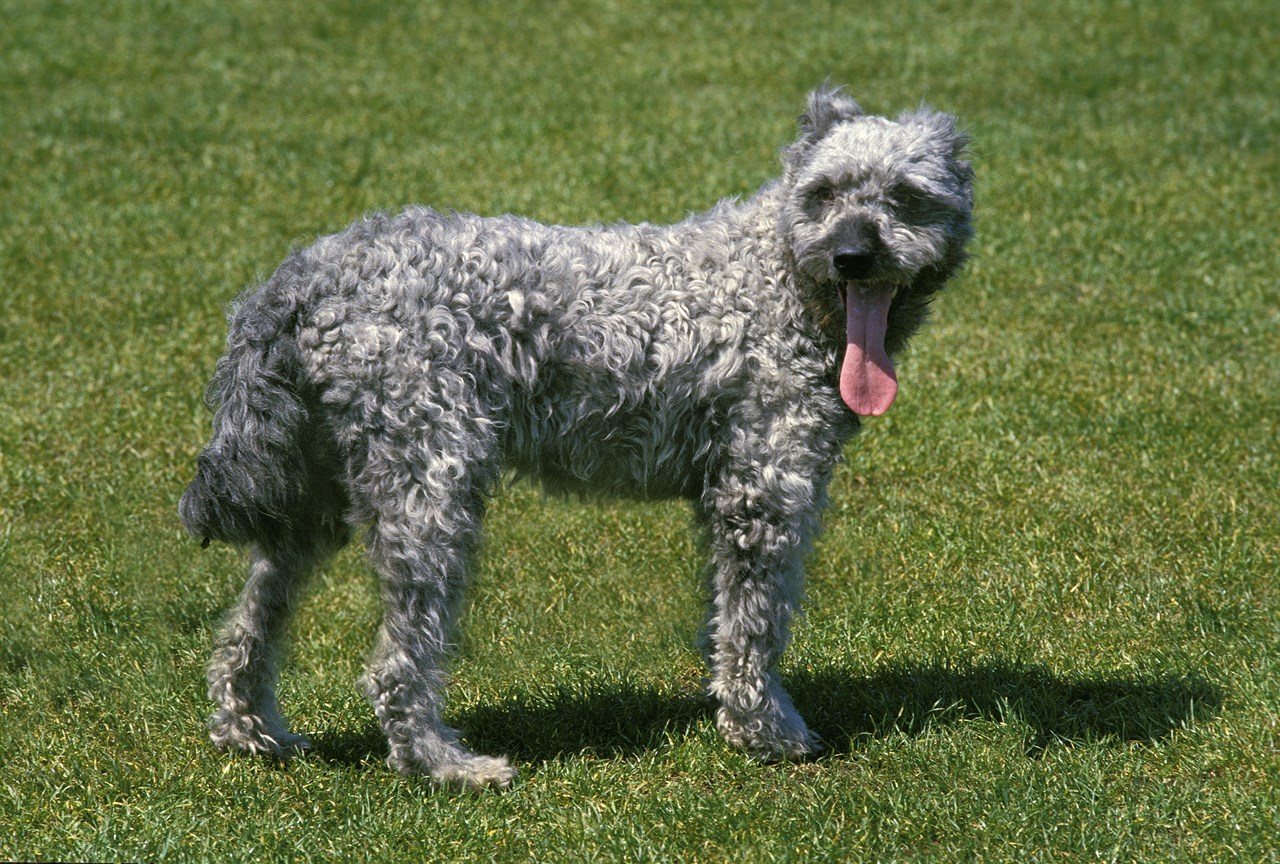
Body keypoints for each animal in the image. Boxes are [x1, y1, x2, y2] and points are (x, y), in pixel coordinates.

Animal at [180, 87, 972, 788]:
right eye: (824, 193)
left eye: (905, 197)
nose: (851, 255)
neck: (777, 276)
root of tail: (305, 274)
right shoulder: (766, 491)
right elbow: (757, 625)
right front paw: (766, 731)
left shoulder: (727, 494)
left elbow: (725, 619)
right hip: (430, 487)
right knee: (397, 663)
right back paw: (443, 764)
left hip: (309, 494)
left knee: (250, 622)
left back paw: (250, 731)